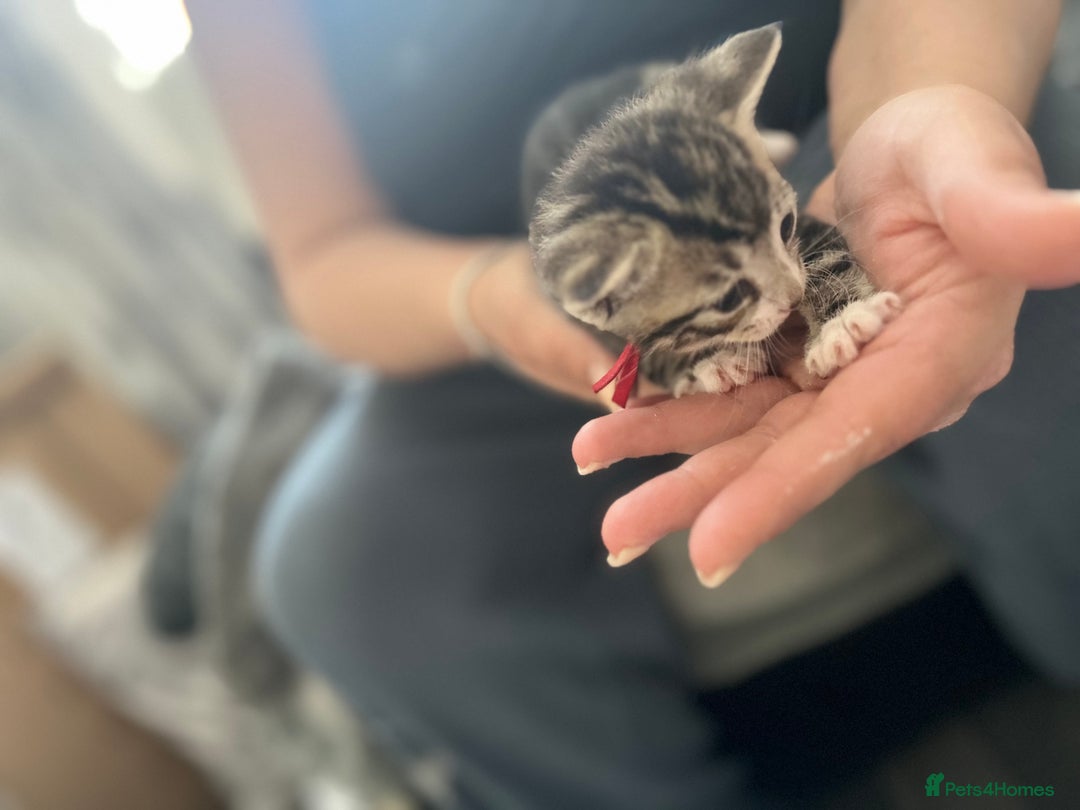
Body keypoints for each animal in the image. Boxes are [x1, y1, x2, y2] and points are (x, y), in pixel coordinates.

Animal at [524, 24, 900, 400]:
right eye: (729, 299)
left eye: (786, 226)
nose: (795, 296)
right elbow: (648, 353)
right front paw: (712, 359)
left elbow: (825, 259)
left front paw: (841, 322)